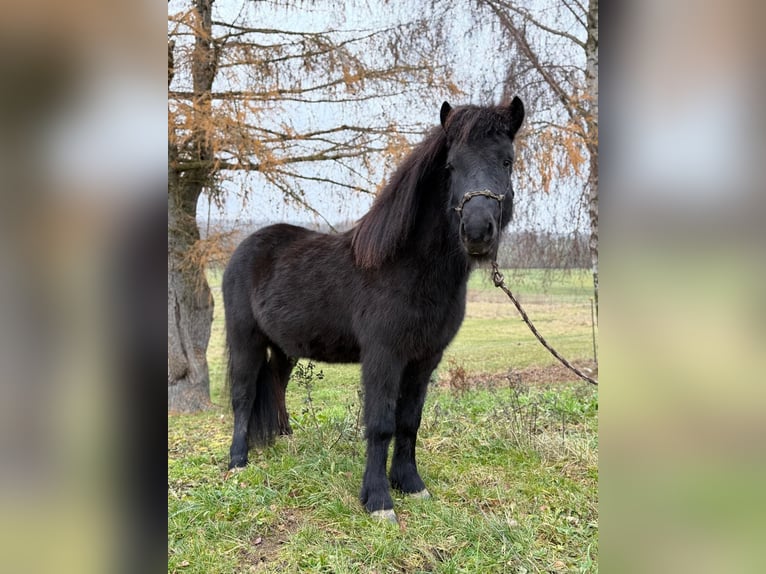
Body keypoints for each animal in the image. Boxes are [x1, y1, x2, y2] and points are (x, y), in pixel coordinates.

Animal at [223, 97, 525, 522]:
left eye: (507, 161)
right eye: (451, 166)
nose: (478, 231)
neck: (408, 267)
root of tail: (245, 247)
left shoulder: (424, 359)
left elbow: (409, 421)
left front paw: (411, 484)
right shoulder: (384, 356)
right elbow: (381, 423)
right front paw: (379, 500)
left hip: (284, 348)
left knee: (277, 384)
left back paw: (284, 441)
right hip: (244, 340)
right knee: (243, 395)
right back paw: (238, 462)